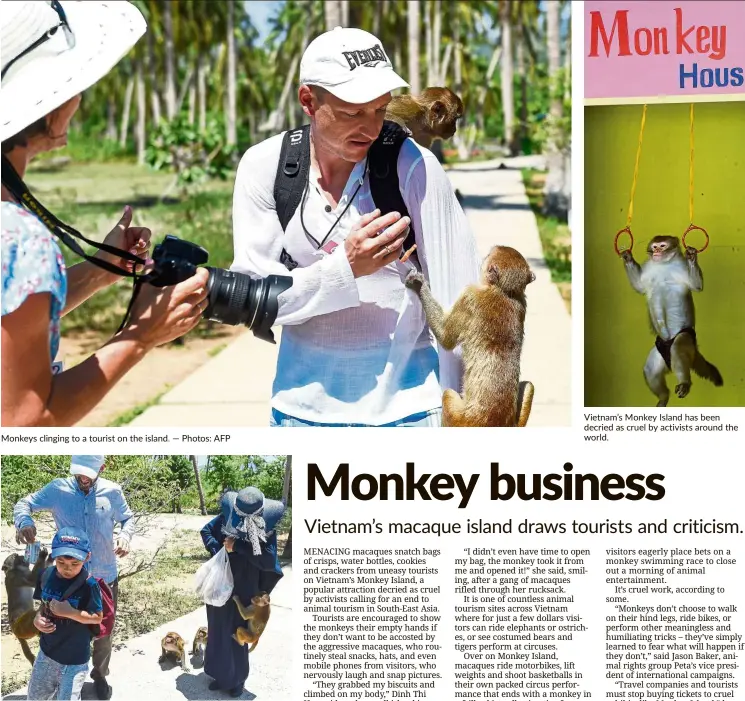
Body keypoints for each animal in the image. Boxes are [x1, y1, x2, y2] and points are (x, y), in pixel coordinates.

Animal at [406, 246, 536, 426]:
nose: (486, 253)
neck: (504, 292)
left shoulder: (470, 296)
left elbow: (445, 337)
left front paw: (419, 286)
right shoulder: (521, 302)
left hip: (460, 418)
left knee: (448, 394)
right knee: (529, 386)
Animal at [620, 235, 720, 404]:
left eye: (662, 245)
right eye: (654, 246)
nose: (656, 252)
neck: (664, 265)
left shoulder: (682, 267)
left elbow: (696, 286)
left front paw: (692, 255)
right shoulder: (649, 268)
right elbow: (640, 286)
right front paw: (627, 257)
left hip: (688, 340)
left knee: (679, 346)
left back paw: (685, 383)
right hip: (660, 348)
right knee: (650, 369)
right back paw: (663, 397)